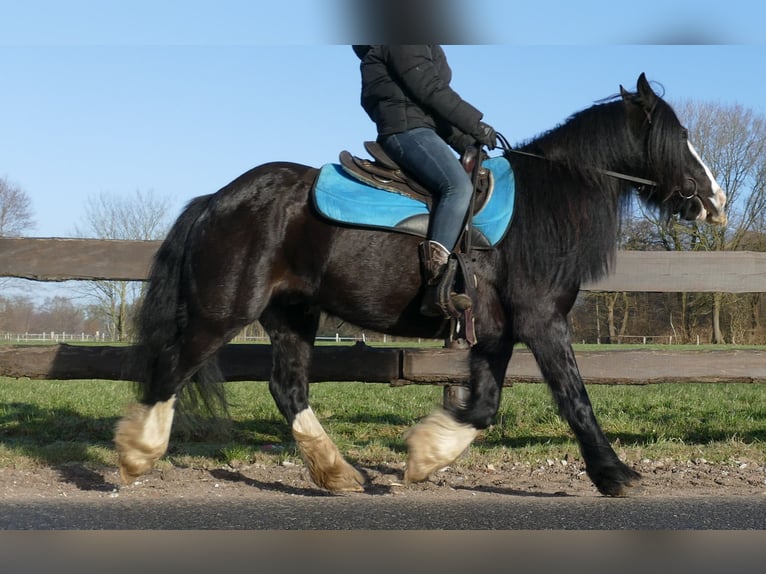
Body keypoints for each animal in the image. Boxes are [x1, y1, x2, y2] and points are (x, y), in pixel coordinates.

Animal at [114, 72, 728, 498]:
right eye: (680, 137)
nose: (717, 202)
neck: (542, 205)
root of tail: (217, 199)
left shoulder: (496, 331)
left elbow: (483, 405)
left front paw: (426, 455)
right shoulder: (541, 320)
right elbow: (574, 395)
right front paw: (614, 474)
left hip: (291, 315)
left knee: (287, 388)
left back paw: (338, 473)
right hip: (222, 313)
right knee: (169, 370)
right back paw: (136, 455)